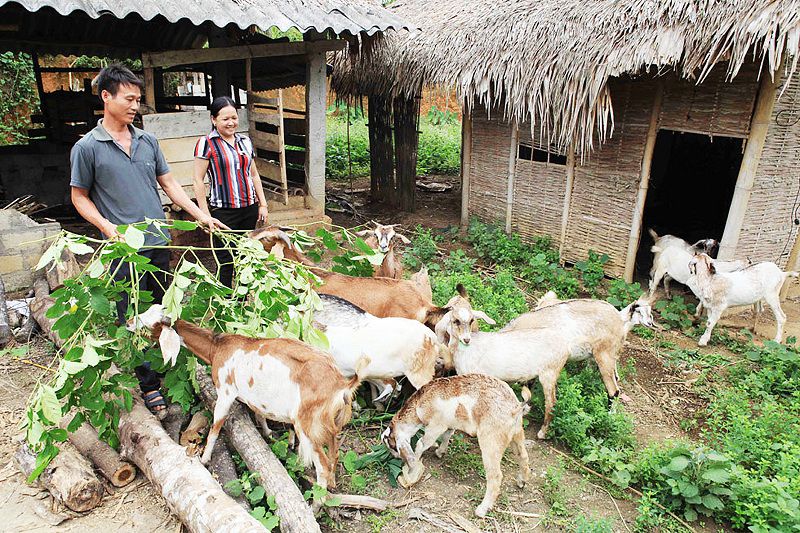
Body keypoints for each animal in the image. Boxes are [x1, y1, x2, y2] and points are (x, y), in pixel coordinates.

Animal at [126, 304, 364, 486]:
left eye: (149, 323)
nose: (128, 322)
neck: (218, 348)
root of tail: (342, 384)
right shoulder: (253, 395)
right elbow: (258, 413)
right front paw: (268, 433)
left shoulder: (225, 391)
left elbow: (216, 426)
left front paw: (204, 459)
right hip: (330, 426)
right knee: (334, 455)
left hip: (308, 426)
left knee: (323, 466)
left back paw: (315, 506)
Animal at [382, 374, 532, 516]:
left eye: (391, 444)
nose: (396, 456)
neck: (419, 404)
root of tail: (515, 408)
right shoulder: (450, 424)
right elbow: (447, 435)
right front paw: (440, 452)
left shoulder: (435, 426)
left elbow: (421, 443)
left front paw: (414, 468)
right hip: (517, 433)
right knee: (523, 457)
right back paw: (522, 481)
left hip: (491, 441)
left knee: (495, 476)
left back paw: (482, 509)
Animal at [444, 286, 656, 436]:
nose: (650, 322)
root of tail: (620, 318)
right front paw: (525, 408)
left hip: (604, 355)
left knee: (613, 390)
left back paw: (608, 417)